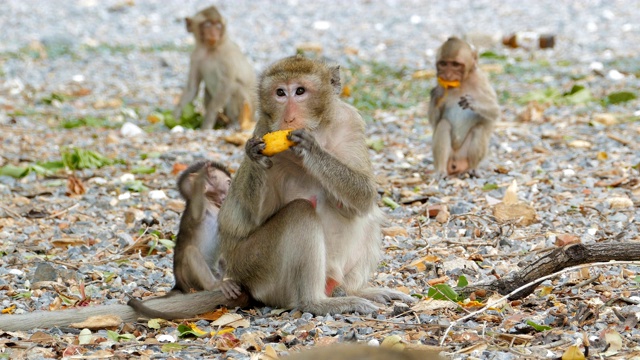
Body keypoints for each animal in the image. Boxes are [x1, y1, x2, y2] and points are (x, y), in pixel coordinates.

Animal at [128, 160, 242, 318]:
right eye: (228, 182)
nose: (230, 191)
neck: (211, 204)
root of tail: (180, 284)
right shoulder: (201, 207)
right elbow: (197, 210)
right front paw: (202, 176)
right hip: (190, 279)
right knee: (190, 251)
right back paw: (215, 285)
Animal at [218, 56, 412, 316]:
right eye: (280, 93)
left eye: (300, 91)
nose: (289, 118)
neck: (319, 129)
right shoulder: (263, 128)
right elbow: (253, 217)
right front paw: (255, 155)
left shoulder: (350, 122)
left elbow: (362, 197)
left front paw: (311, 150)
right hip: (253, 264)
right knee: (300, 212)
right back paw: (316, 302)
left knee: (370, 216)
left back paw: (355, 291)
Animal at [428, 36, 502, 176]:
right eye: (443, 64)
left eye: (455, 65)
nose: (447, 75)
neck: (461, 83)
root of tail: (456, 162)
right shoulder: (440, 85)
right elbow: (435, 121)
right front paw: (436, 96)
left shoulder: (481, 80)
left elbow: (495, 111)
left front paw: (474, 103)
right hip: (450, 157)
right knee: (443, 124)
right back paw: (441, 170)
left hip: (464, 156)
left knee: (478, 128)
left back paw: (472, 168)